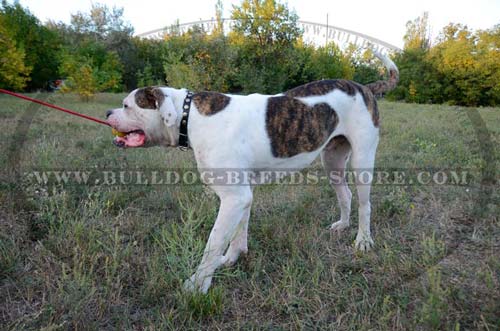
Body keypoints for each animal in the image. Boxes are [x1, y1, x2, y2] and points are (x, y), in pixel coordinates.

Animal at [105, 52, 398, 294]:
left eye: (127, 105)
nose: (108, 111)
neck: (190, 116)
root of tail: (363, 87)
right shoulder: (241, 196)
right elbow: (237, 233)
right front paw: (232, 258)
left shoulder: (234, 198)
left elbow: (213, 243)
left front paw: (197, 284)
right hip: (332, 160)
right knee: (345, 195)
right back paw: (343, 225)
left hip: (362, 161)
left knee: (365, 204)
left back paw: (363, 240)